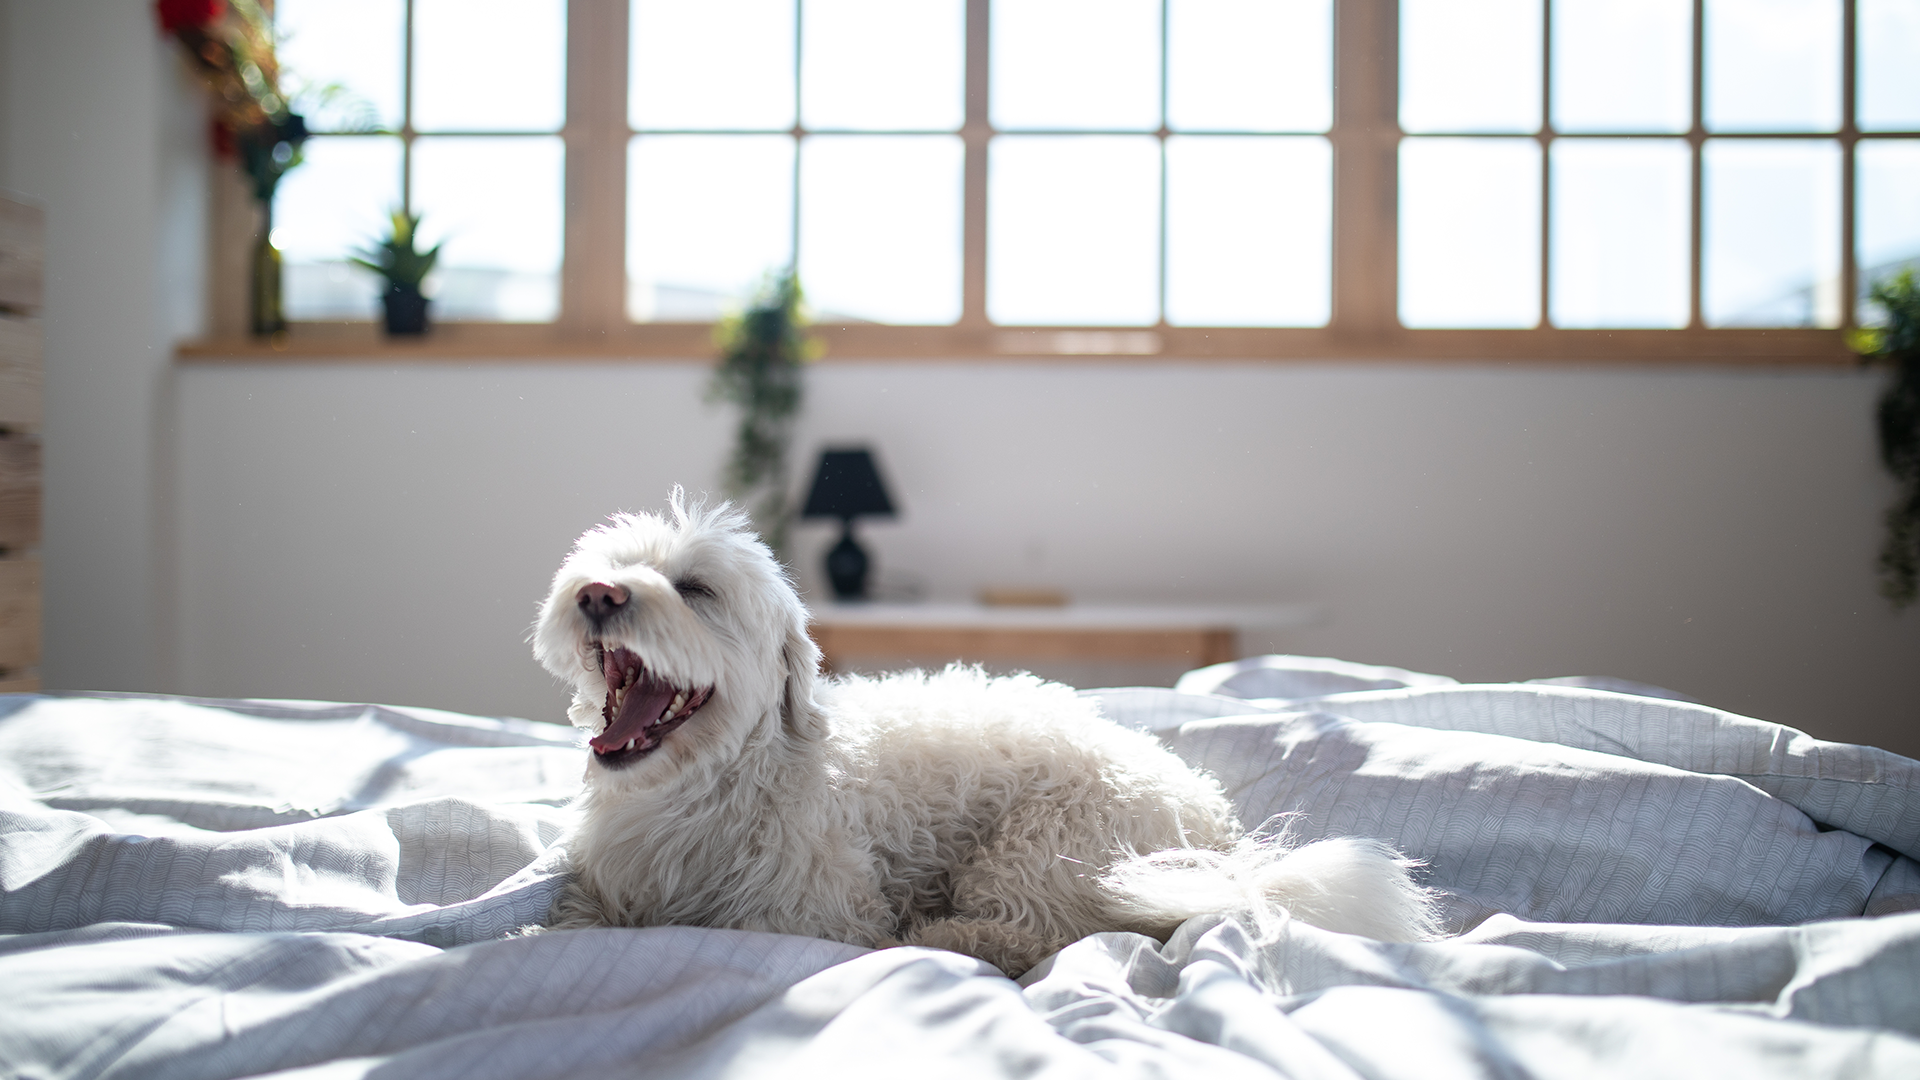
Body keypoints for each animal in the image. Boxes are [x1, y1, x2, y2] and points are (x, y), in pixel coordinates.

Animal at [533, 491, 1436, 972]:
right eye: (608, 565)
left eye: (695, 589)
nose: (599, 594)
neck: (704, 789)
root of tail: (1219, 831)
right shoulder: (600, 892)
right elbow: (569, 924)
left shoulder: (816, 916)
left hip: (1041, 848)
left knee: (1050, 934)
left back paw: (948, 937)